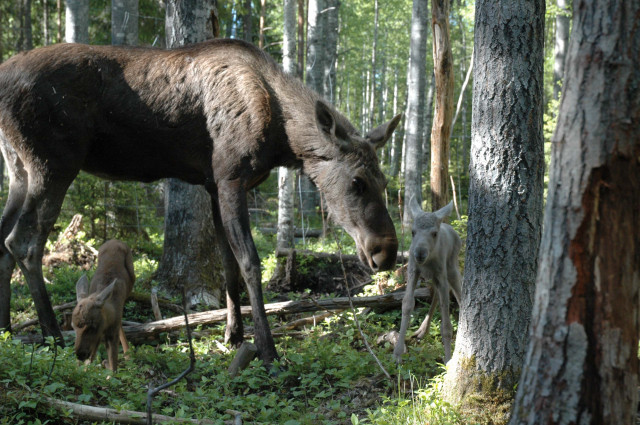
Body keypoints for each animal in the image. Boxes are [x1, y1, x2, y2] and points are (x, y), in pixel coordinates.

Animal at [0, 39, 400, 362]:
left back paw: (7, 329)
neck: (281, 139)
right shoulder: (230, 178)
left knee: (4, 239)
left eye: (384, 181)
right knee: (23, 243)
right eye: (358, 182)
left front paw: (233, 334)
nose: (387, 252)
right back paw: (52, 333)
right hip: (53, 164)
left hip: (18, 170)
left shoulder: (212, 185)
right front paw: (267, 350)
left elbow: (227, 265)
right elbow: (249, 262)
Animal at [392, 197, 462, 362]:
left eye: (434, 233)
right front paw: (397, 353)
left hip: (451, 268)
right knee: (436, 294)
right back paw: (422, 330)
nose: (419, 253)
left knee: (459, 291)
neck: (429, 260)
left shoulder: (441, 273)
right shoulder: (413, 270)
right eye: (412, 232)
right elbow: (407, 304)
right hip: (434, 277)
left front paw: (448, 359)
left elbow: (446, 324)